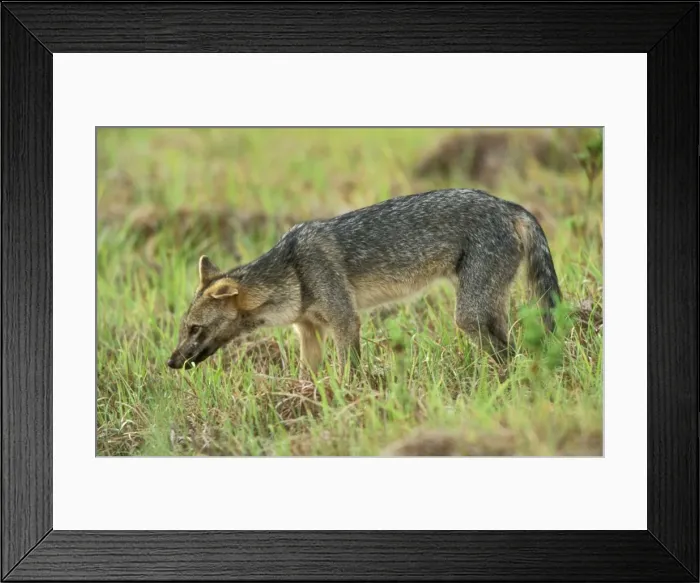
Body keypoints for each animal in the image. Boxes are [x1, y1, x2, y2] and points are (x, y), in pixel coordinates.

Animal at [166, 188, 562, 373]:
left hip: (469, 314)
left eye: (195, 329)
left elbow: (347, 372)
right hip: (488, 306)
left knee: (507, 351)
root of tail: (507, 204)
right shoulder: (308, 332)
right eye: (184, 328)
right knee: (513, 346)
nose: (170, 362)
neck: (292, 271)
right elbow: (308, 376)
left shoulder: (345, 320)